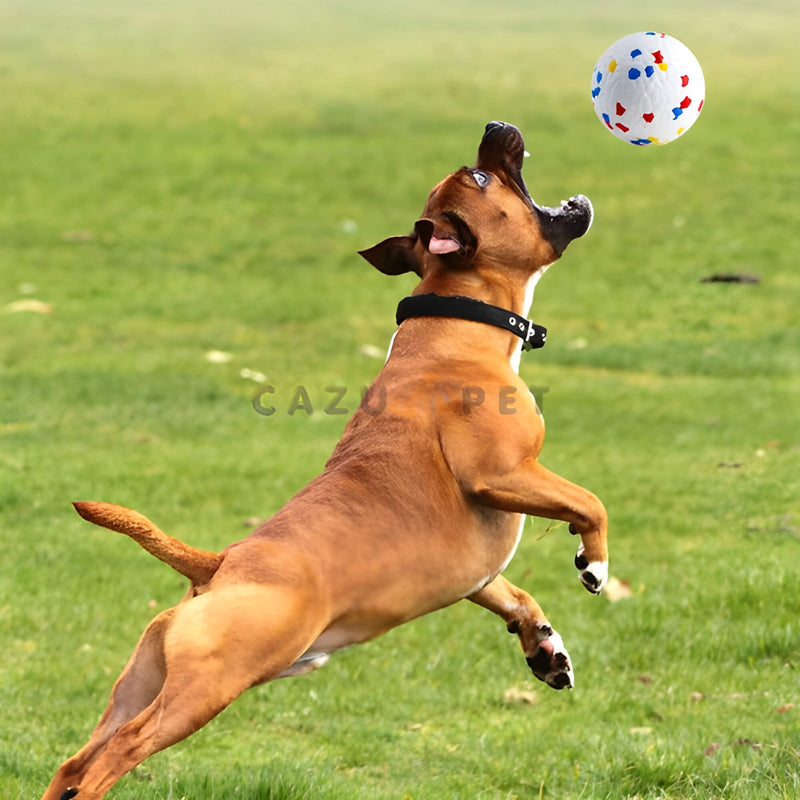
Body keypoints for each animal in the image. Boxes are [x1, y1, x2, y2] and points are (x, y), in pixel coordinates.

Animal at [42, 120, 608, 800]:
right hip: (201, 693)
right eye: (479, 177)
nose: (495, 128)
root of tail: (218, 565)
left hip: (143, 682)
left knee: (73, 762)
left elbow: (514, 594)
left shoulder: (478, 571)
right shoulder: (501, 476)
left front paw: (544, 646)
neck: (454, 322)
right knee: (112, 756)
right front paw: (594, 564)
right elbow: (589, 503)